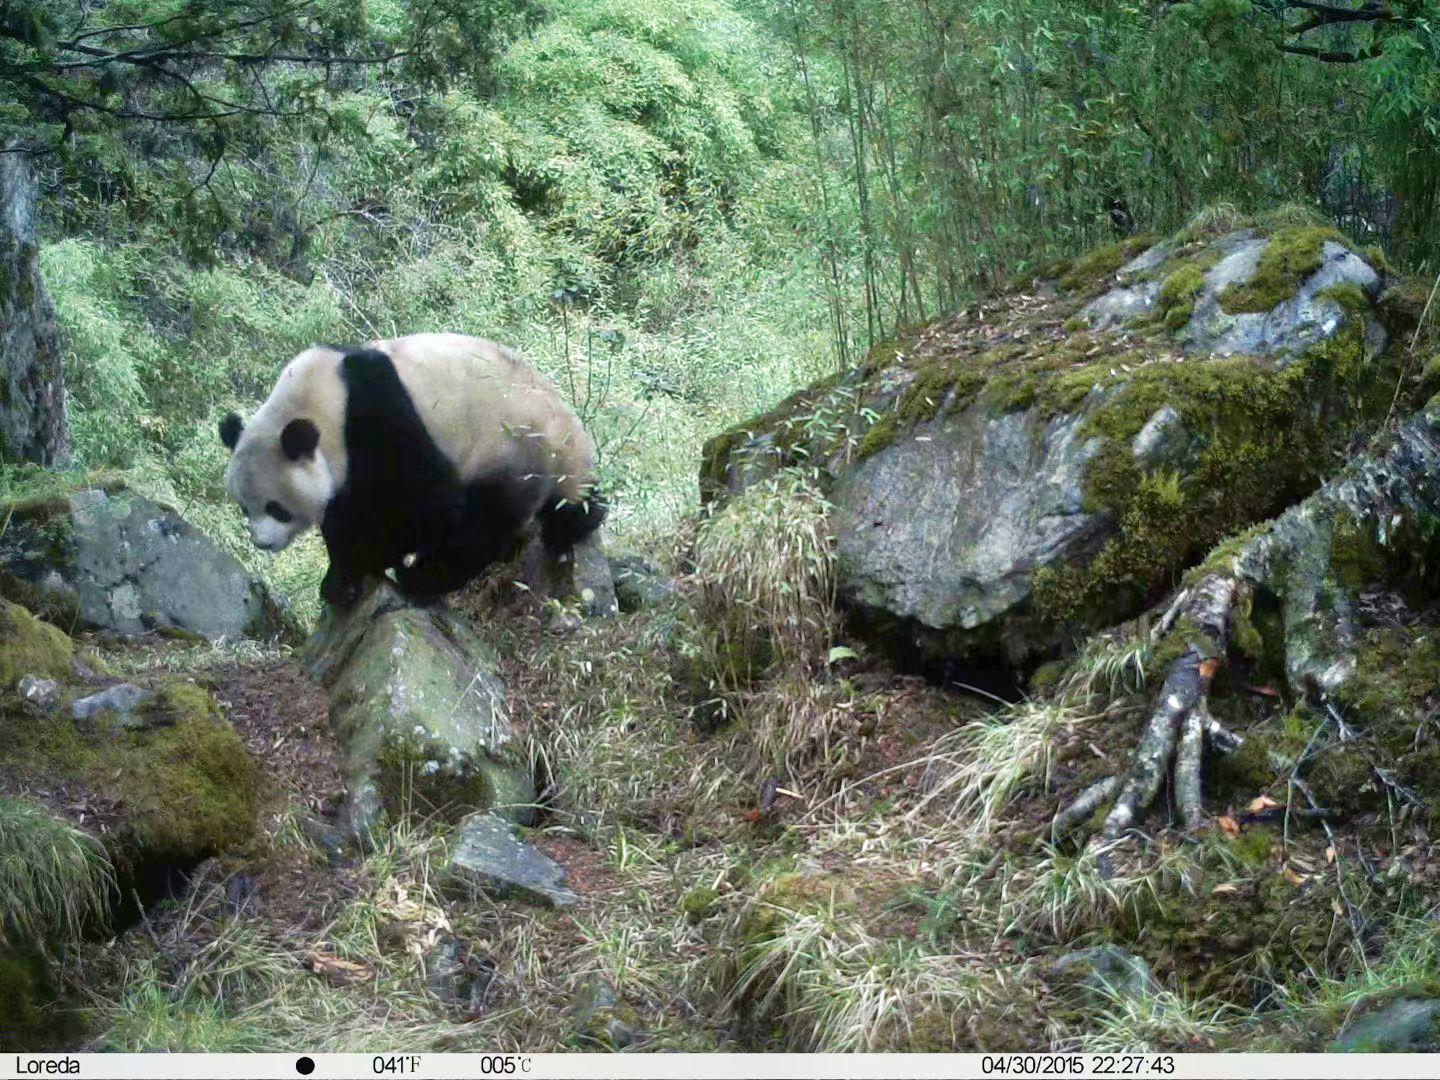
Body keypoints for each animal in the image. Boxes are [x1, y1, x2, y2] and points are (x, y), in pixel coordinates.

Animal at [219, 332, 606, 608]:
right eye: (244, 508)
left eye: (276, 508)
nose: (262, 542)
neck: (323, 397)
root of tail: (570, 436)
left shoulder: (375, 417)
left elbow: (428, 503)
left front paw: (352, 571)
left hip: (509, 446)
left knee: (485, 522)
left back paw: (421, 577)